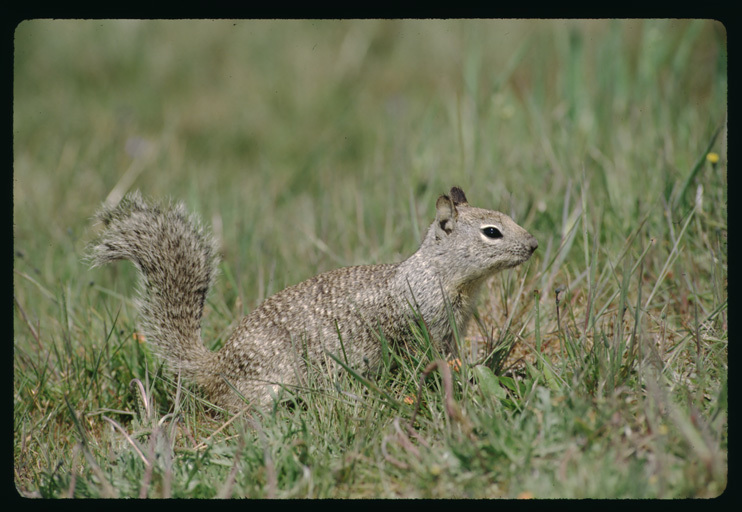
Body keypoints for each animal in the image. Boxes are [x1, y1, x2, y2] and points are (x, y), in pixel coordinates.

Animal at [90, 186, 536, 410]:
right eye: (492, 232)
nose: (533, 244)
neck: (437, 275)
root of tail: (216, 368)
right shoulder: (417, 328)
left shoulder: (450, 333)